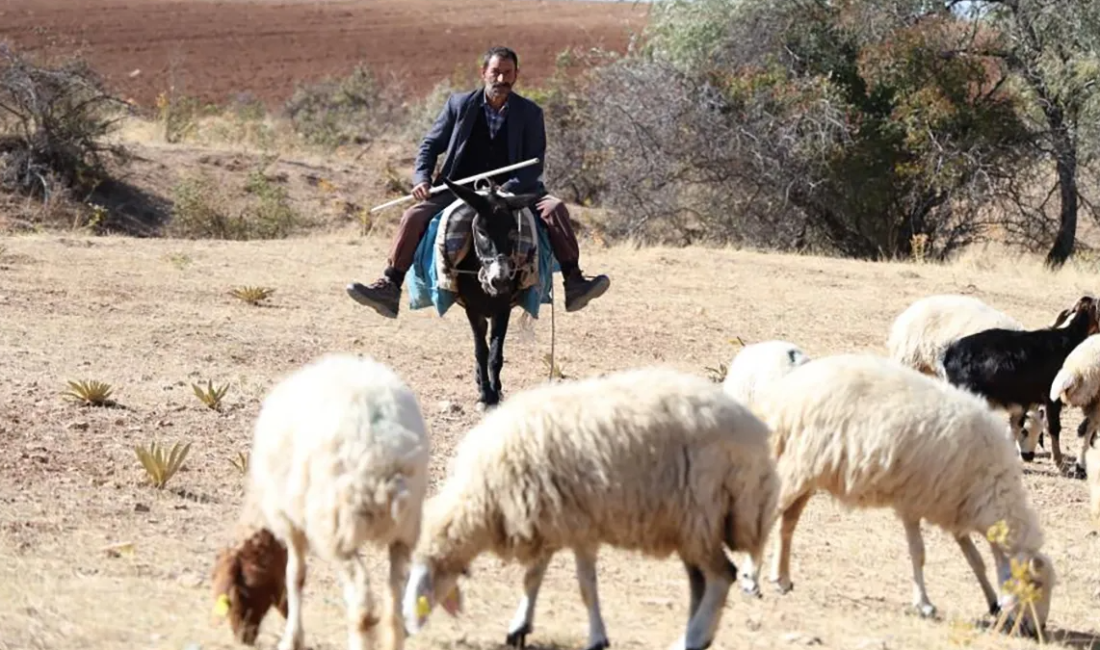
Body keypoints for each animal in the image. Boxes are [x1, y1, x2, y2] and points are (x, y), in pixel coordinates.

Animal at [216, 354, 431, 650]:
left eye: (236, 592)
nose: (243, 637)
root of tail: (386, 446)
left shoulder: (289, 521)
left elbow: (294, 575)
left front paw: (292, 639)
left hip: (338, 526)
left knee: (362, 603)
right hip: (405, 529)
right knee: (394, 602)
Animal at [400, 365, 778, 650]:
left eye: (419, 584)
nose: (405, 628)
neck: (484, 496)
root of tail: (756, 432)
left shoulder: (579, 526)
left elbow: (585, 587)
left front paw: (597, 637)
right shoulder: (548, 520)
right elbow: (532, 578)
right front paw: (520, 626)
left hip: (701, 514)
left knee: (721, 577)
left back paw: (691, 638)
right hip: (689, 525)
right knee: (700, 582)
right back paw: (697, 636)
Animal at [748, 354, 1056, 637]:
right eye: (1035, 585)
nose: (1037, 629)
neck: (990, 489)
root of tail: (782, 397)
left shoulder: (954, 508)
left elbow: (976, 561)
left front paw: (992, 602)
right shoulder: (914, 502)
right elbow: (919, 554)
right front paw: (924, 604)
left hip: (809, 472)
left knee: (788, 522)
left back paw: (782, 578)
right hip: (799, 463)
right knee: (770, 516)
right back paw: (752, 581)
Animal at [937, 296, 1100, 475]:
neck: (1070, 339)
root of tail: (948, 355)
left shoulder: (1024, 401)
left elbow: (1016, 426)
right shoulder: (1051, 398)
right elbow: (1053, 428)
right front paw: (1059, 464)